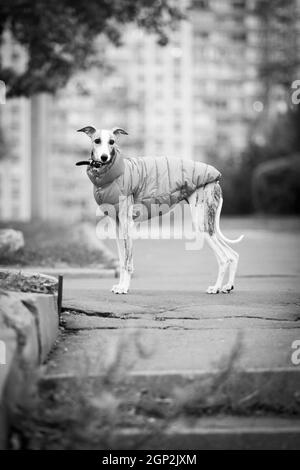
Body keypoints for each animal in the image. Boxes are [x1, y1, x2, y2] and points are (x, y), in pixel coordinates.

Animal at [75, 125, 244, 294]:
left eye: (112, 142)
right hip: (208, 224)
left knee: (224, 258)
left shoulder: (127, 224)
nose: (104, 157)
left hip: (201, 222)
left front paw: (124, 288)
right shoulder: (117, 226)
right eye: (97, 140)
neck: (112, 172)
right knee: (233, 255)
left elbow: (128, 261)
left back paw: (215, 288)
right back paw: (227, 286)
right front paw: (120, 285)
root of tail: (216, 181)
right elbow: (122, 260)